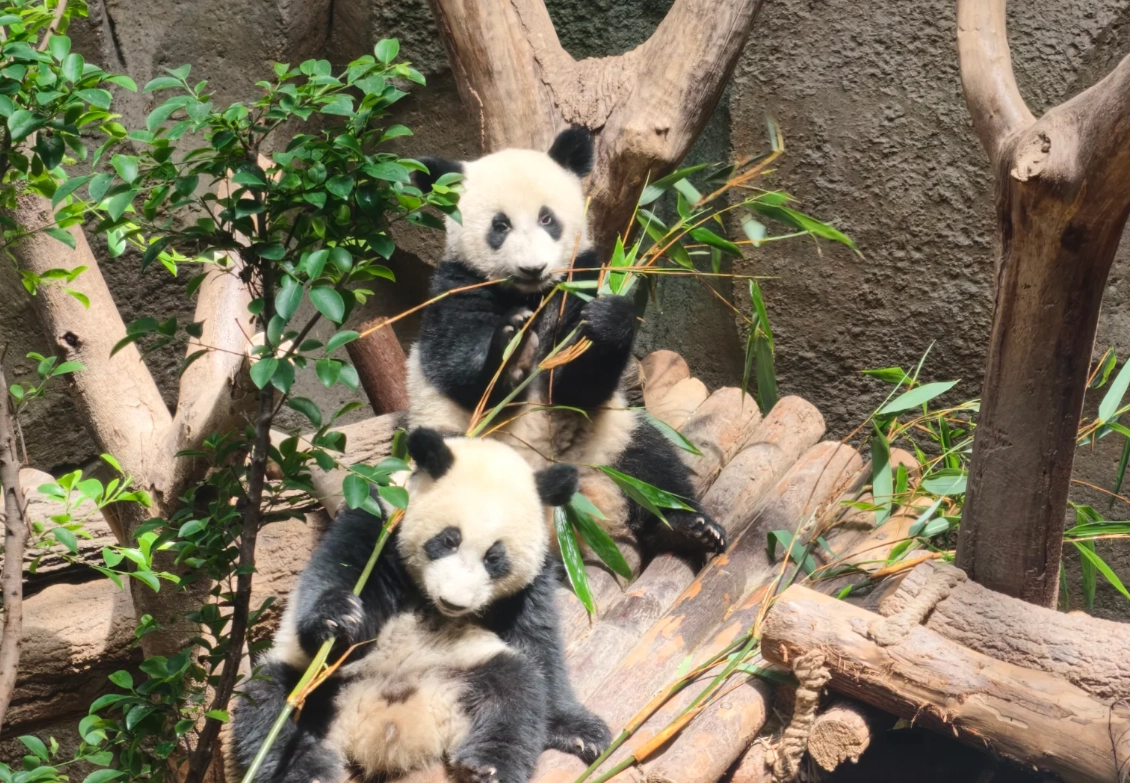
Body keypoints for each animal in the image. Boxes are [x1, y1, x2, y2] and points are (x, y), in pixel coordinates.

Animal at [228, 429, 611, 783]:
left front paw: (580, 732)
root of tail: (389, 728)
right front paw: (337, 619)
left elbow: (537, 644)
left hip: (464, 669)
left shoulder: (532, 579)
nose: (453, 601)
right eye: (448, 540)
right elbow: (335, 573)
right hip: (315, 685)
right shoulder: (378, 518)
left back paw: (488, 766)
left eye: (494, 558)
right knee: (271, 706)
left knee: (515, 690)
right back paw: (305, 772)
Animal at [405, 126, 727, 565]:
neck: (534, 294)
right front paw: (513, 351)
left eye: (547, 218)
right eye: (499, 225)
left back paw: (692, 529)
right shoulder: (455, 287)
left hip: (613, 439)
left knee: (655, 467)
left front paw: (607, 320)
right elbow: (458, 367)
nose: (533, 267)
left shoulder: (581, 277)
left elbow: (579, 384)